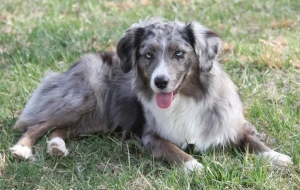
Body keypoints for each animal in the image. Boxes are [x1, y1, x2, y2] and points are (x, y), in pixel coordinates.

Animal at [10, 17, 292, 172]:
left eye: (179, 53)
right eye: (148, 55)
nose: (160, 82)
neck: (185, 99)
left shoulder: (233, 123)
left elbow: (253, 141)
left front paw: (277, 156)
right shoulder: (150, 136)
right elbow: (173, 150)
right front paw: (193, 165)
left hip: (99, 120)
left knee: (61, 129)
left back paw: (57, 147)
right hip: (85, 99)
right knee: (38, 124)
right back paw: (22, 149)